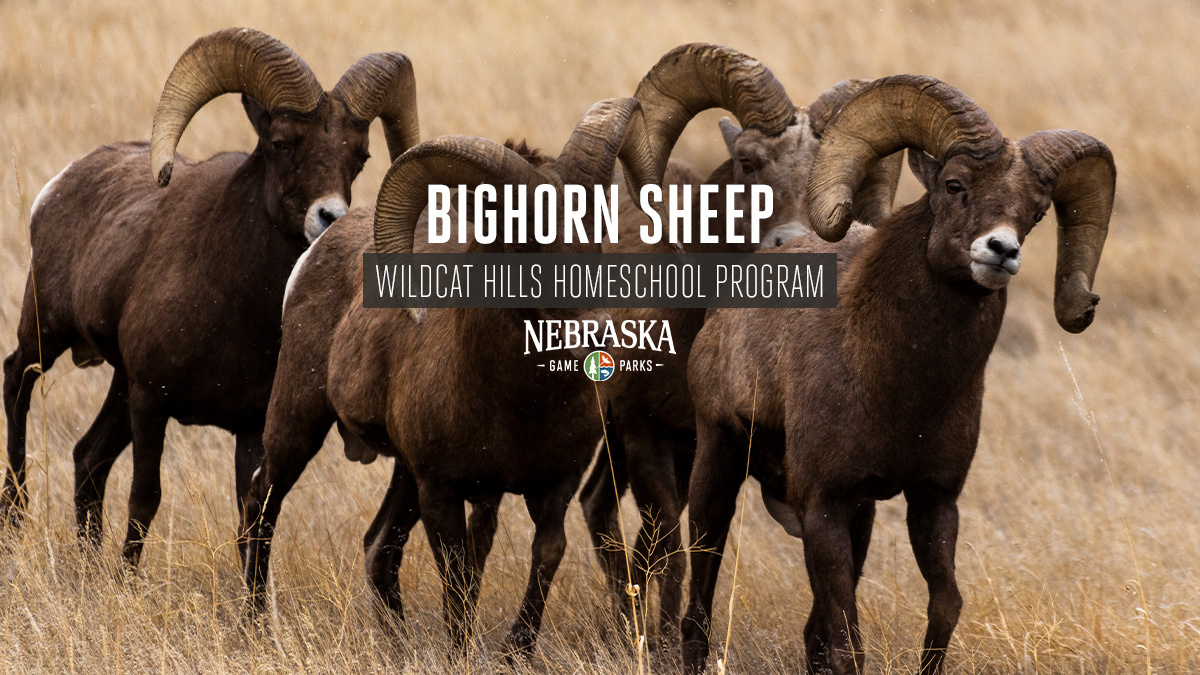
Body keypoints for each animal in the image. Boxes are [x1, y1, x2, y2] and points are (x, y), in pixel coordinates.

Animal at [0, 27, 419, 569]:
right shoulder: (150, 402)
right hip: (46, 333)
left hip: (116, 383)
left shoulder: (248, 430)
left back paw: (88, 563)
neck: (233, 306)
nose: (330, 217)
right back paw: (15, 514)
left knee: (88, 458)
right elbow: (145, 499)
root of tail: (57, 186)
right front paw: (128, 581)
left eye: (360, 156)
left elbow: (251, 523)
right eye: (281, 142)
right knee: (17, 380)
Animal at [239, 97, 665, 657]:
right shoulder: (442, 489)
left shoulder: (551, 484)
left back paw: (396, 647)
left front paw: (516, 651)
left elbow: (545, 554)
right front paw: (462, 651)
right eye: (521, 238)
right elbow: (459, 577)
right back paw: (256, 627)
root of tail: (319, 246)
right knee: (261, 505)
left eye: (594, 228)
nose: (592, 327)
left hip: (401, 472)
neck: (520, 407)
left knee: (378, 547)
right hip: (298, 424)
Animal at [679, 75, 1116, 674]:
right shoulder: (824, 505)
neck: (896, 384)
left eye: (1036, 213)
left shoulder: (932, 501)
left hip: (857, 517)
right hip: (718, 461)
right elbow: (847, 641)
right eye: (955, 185)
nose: (1001, 251)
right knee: (699, 595)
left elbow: (943, 606)